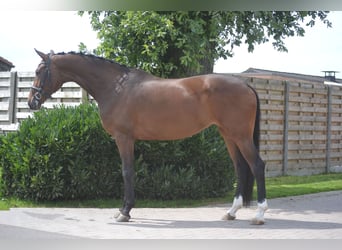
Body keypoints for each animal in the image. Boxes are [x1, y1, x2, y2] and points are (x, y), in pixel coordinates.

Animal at [28, 48, 268, 225]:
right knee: (240, 167)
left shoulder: (123, 138)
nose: (31, 102)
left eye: (40, 71)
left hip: (240, 135)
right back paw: (231, 212)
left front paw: (124, 212)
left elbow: (127, 172)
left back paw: (259, 214)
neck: (115, 87)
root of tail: (246, 85)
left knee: (257, 165)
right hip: (228, 135)